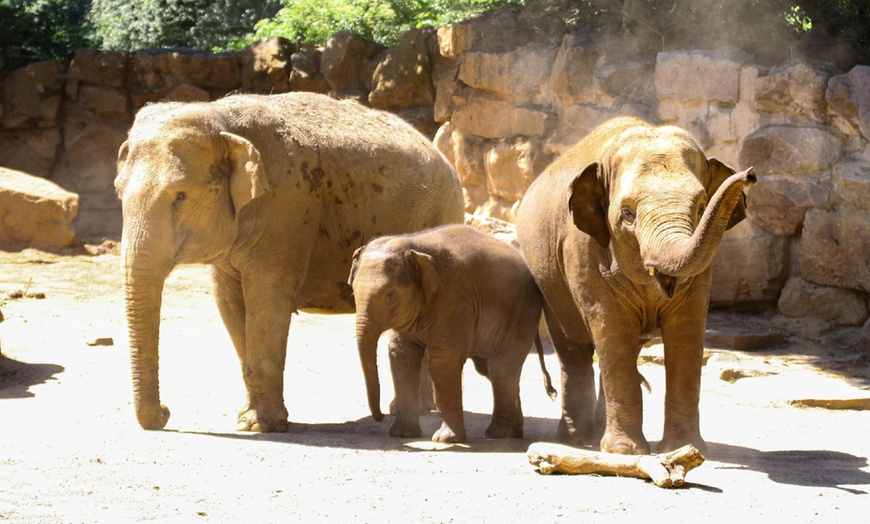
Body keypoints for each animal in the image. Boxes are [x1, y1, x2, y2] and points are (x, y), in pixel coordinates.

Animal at [120, 92, 470, 432]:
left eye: (180, 196)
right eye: (118, 191)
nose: (166, 414)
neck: (220, 116)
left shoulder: (286, 207)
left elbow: (268, 302)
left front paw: (260, 425)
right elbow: (230, 304)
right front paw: (248, 419)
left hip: (441, 213)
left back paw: (418, 410)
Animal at [516, 115, 756, 454]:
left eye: (701, 208)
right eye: (627, 214)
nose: (750, 174)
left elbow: (687, 330)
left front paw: (684, 449)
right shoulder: (583, 249)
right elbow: (611, 327)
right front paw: (625, 452)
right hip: (548, 280)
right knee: (573, 347)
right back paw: (577, 439)